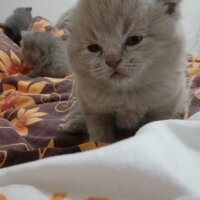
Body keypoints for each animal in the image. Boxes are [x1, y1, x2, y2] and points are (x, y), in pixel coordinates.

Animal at [65, 0, 187, 143]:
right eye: (93, 48)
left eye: (134, 40)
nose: (112, 61)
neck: (126, 95)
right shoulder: (94, 110)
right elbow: (99, 137)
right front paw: (98, 143)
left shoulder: (164, 107)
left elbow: (154, 126)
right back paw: (74, 123)